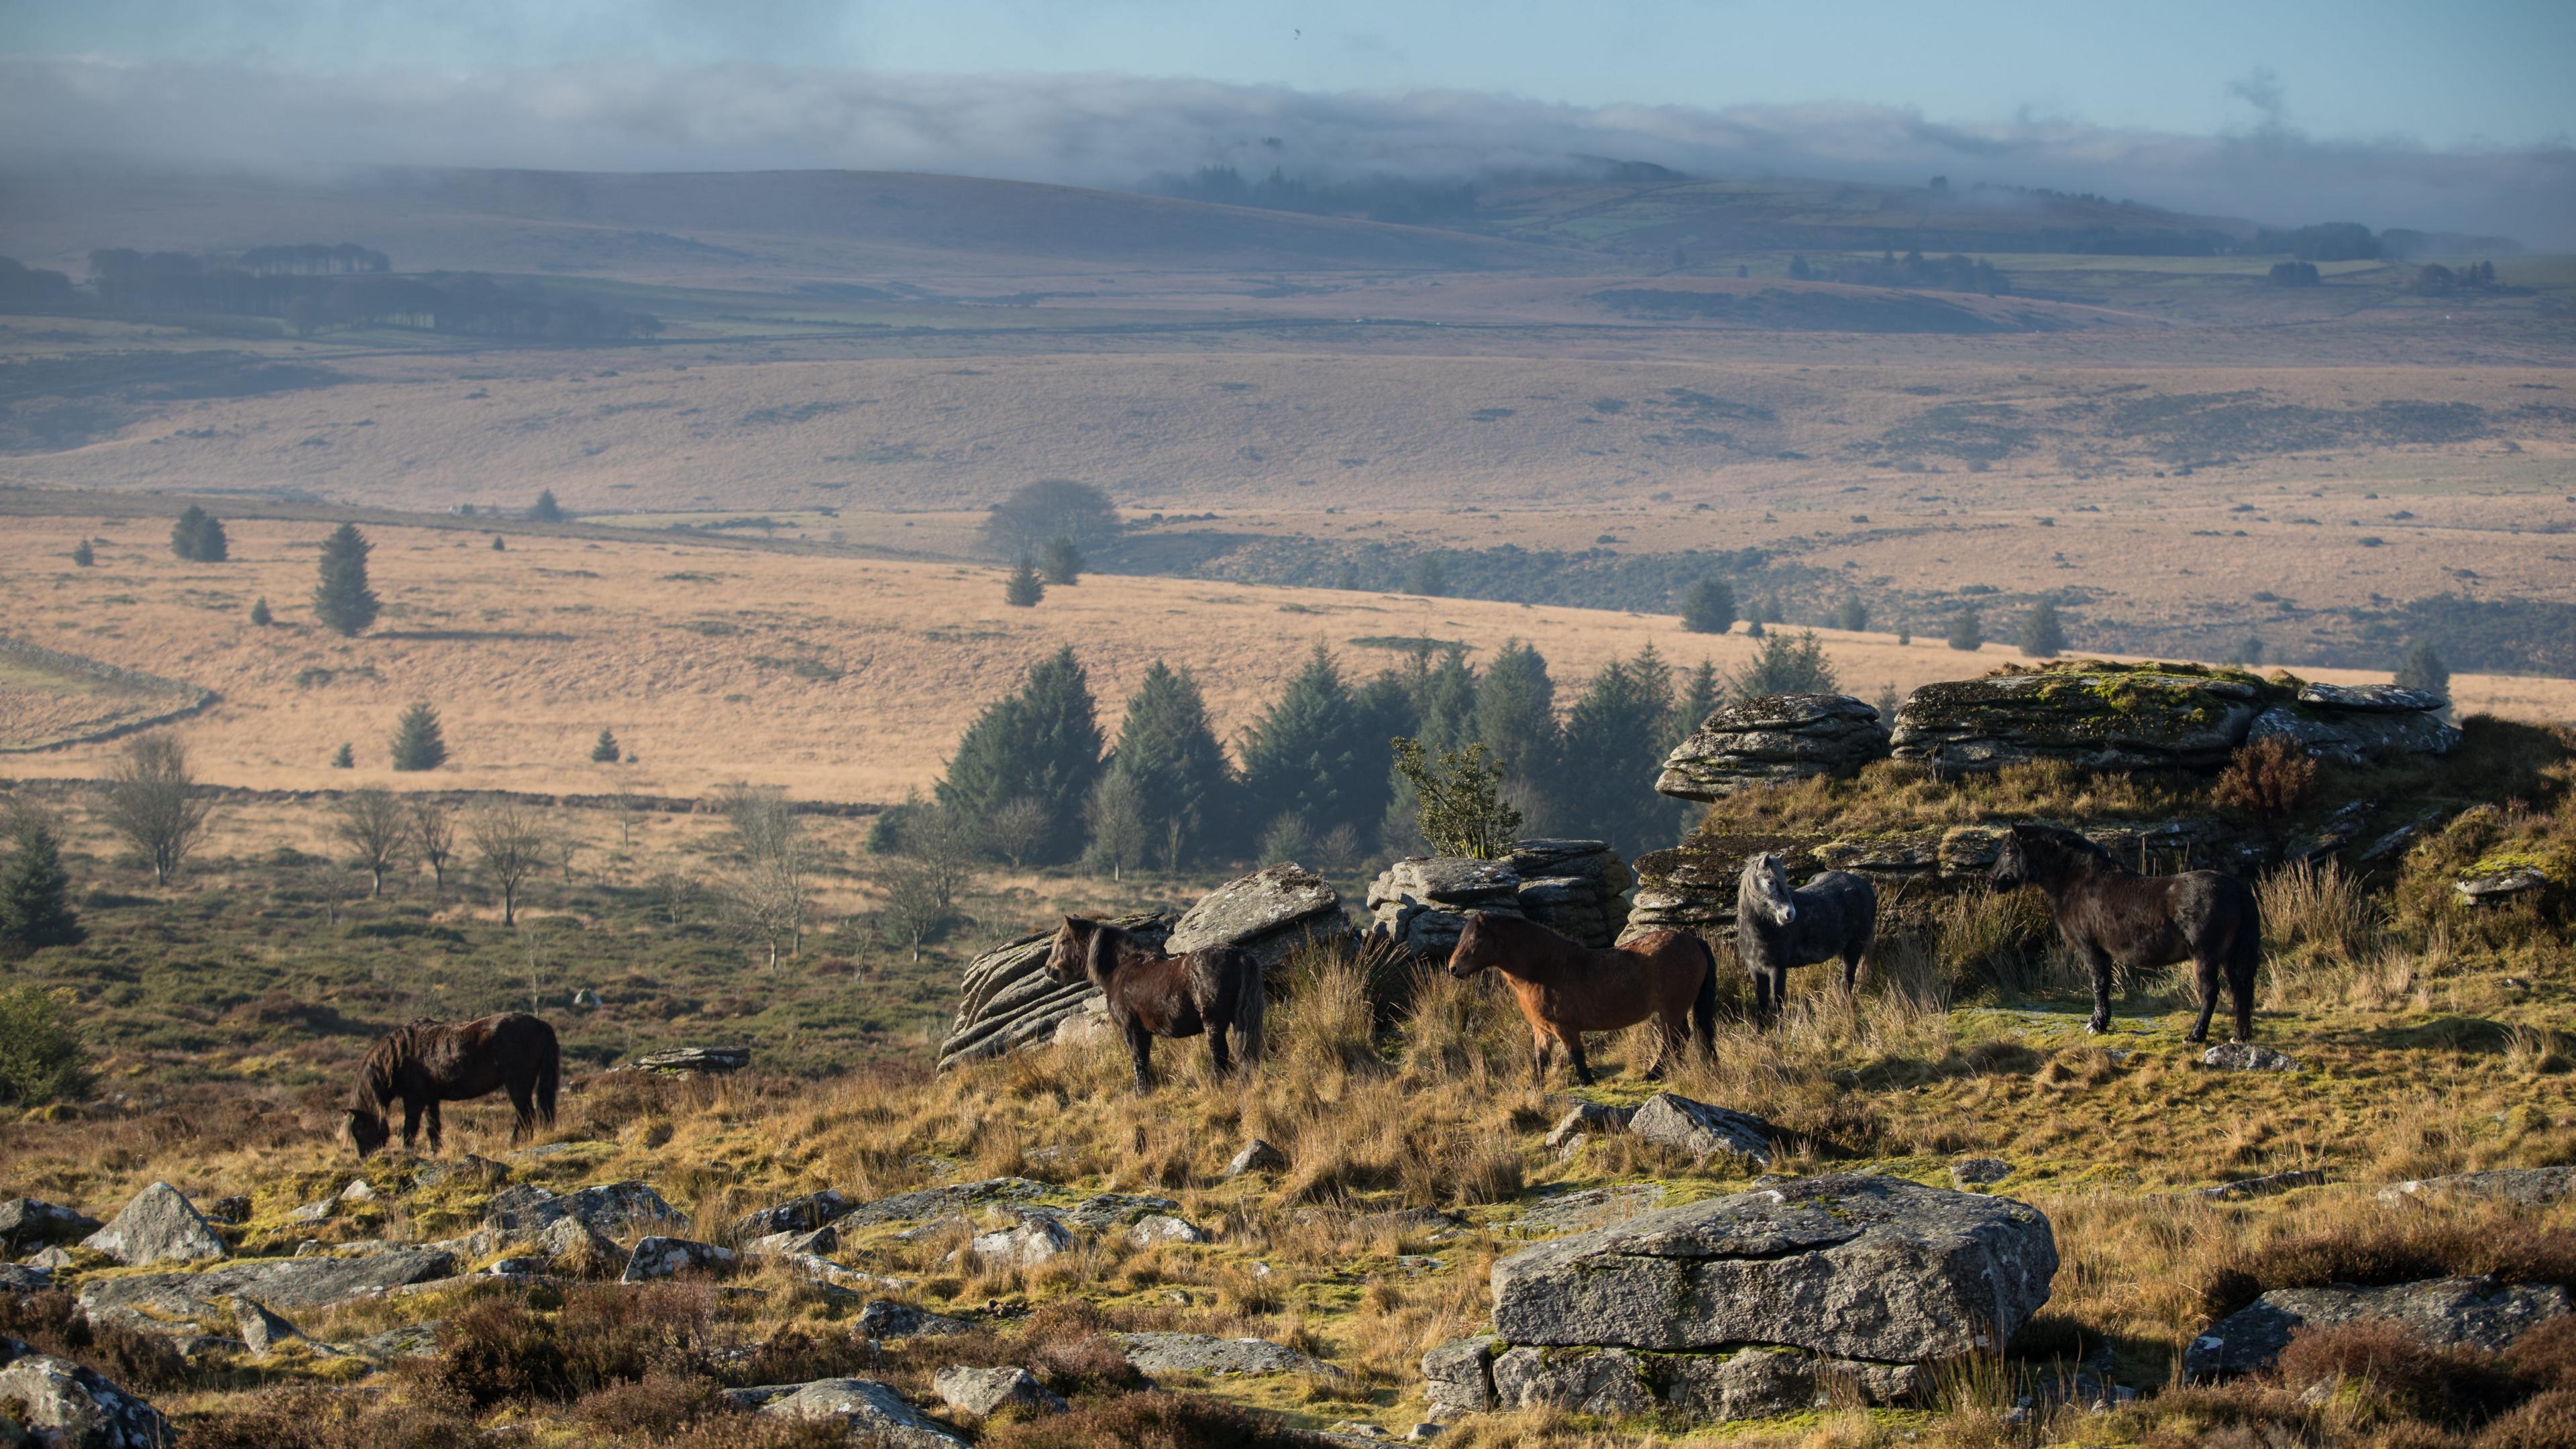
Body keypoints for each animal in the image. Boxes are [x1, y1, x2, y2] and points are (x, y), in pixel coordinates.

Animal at [345, 1010, 561, 1155]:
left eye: (359, 1129)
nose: (365, 1159)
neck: (400, 1057)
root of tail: (539, 1023)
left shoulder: (414, 1100)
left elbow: (410, 1128)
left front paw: (408, 1153)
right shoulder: (431, 1099)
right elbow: (433, 1127)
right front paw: (436, 1152)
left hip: (517, 1084)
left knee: (526, 1115)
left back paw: (515, 1144)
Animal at [1046, 912, 1267, 1083]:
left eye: (1064, 941)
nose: (1049, 970)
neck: (1121, 969)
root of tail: (1240, 956)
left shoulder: (1131, 1028)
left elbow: (1138, 1062)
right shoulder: (1145, 1032)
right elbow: (1144, 1060)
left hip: (1214, 1023)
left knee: (1219, 1056)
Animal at [1442, 907, 1721, 1077]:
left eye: (1474, 940)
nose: (1453, 969)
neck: (1546, 969)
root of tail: (1693, 940)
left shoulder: (1565, 1028)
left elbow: (1577, 1059)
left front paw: (1588, 1083)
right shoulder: (1542, 1030)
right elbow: (1539, 1063)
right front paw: (1535, 1091)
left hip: (1671, 1010)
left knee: (1674, 1040)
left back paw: (1653, 1075)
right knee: (1683, 1039)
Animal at [1731, 851, 1875, 1020]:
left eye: (1784, 881)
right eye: (1770, 882)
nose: (1790, 914)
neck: (1758, 934)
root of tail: (1865, 884)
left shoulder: (1777, 970)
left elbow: (1778, 1003)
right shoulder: (1756, 970)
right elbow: (1762, 1004)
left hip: (1854, 948)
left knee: (1847, 981)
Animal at [1978, 824, 2267, 1036]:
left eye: (2008, 851)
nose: (1991, 881)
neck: (2078, 882)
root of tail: (2236, 887)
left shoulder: (2090, 948)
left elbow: (2098, 984)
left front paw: (2096, 1025)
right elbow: (2104, 984)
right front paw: (2101, 1021)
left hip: (2206, 957)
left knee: (2210, 992)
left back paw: (2195, 1035)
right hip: (2230, 957)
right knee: (2241, 989)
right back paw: (2239, 1036)